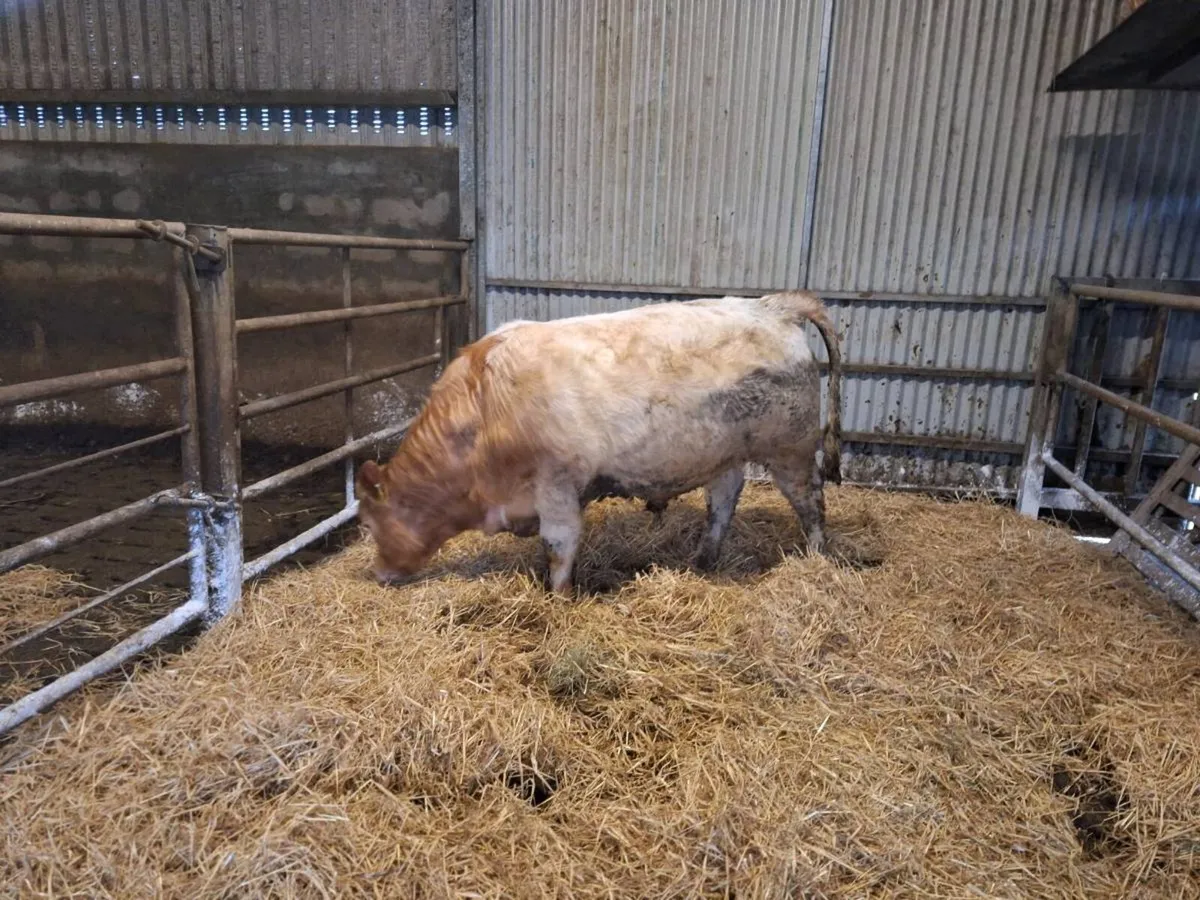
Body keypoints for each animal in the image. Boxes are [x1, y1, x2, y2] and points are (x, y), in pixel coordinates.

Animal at [355, 291, 842, 593]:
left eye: (372, 523)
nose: (378, 573)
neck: (483, 408)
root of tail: (775, 306)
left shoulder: (556, 485)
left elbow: (559, 547)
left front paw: (557, 598)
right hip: (725, 451)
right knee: (723, 500)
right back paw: (704, 560)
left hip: (791, 449)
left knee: (810, 502)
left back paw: (816, 558)